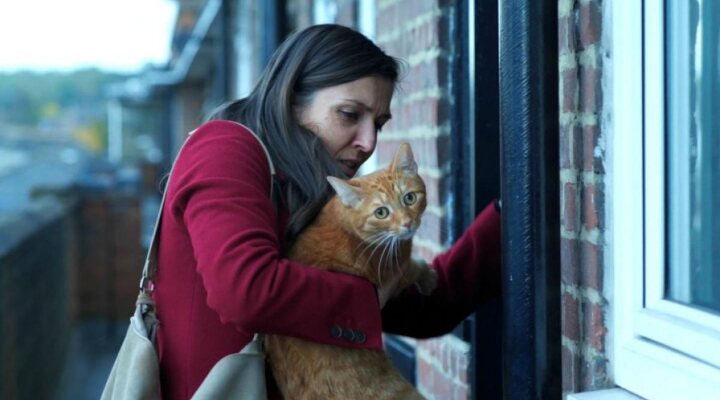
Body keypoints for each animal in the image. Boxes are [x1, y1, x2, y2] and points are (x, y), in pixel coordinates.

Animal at [262, 144, 434, 400]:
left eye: (409, 198)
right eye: (381, 213)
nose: (407, 223)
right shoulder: (395, 270)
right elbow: (414, 267)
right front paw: (429, 276)